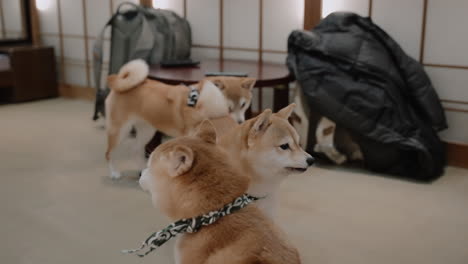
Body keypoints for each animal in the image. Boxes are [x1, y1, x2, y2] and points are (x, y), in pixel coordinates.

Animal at [105, 60, 256, 179]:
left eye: (243, 105)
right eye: (229, 108)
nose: (239, 122)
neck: (198, 101)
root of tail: (119, 82)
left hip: (146, 131)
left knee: (135, 149)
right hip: (120, 131)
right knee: (109, 153)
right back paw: (114, 172)